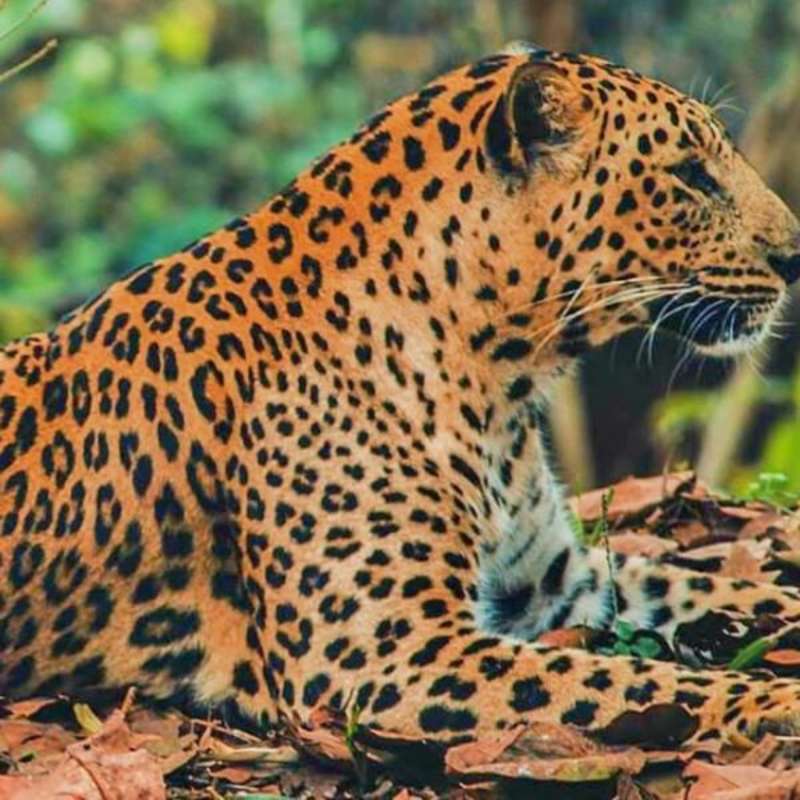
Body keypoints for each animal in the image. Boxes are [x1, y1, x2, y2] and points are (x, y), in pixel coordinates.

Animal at [2, 42, 800, 748]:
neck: (499, 382)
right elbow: (628, 682)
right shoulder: (385, 657)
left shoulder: (554, 586)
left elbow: (709, 588)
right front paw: (772, 702)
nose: (796, 256)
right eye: (691, 175)